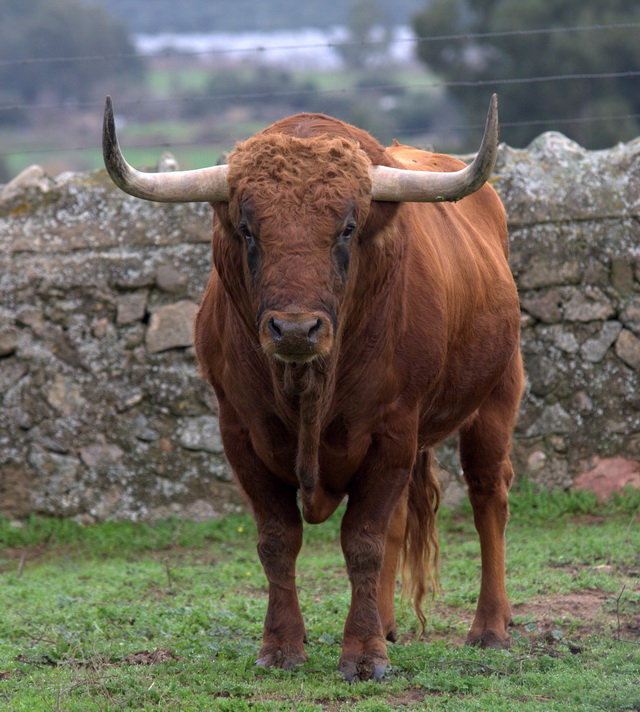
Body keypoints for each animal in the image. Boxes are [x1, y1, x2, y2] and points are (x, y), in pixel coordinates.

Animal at [102, 93, 524, 680]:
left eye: (347, 228)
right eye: (247, 228)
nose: (297, 329)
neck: (308, 386)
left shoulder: (392, 432)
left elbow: (363, 542)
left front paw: (364, 655)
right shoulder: (240, 432)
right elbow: (279, 541)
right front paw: (283, 645)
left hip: (496, 395)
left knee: (490, 499)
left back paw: (490, 628)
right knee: (401, 520)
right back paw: (388, 623)